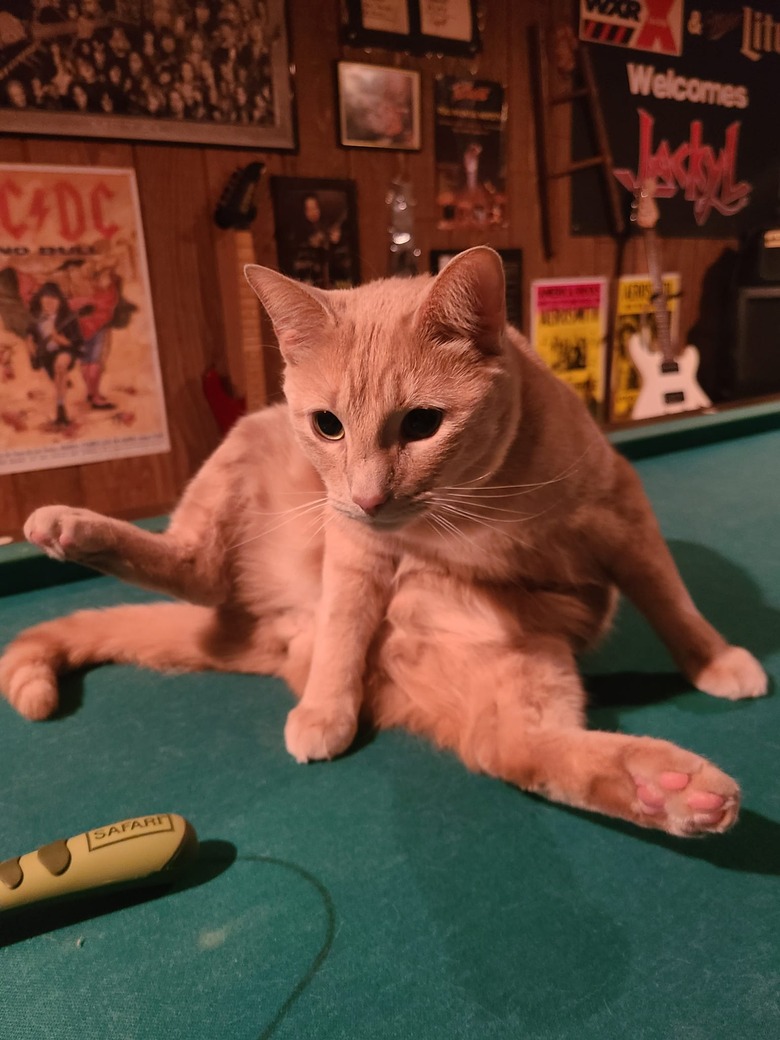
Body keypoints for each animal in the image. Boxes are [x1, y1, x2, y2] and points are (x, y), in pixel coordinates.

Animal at [0, 249, 769, 836]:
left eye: (423, 424)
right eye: (328, 425)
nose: (371, 497)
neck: (475, 515)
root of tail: (277, 632)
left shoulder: (620, 511)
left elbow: (669, 598)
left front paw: (715, 660)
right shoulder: (353, 544)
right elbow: (344, 629)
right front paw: (326, 711)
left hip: (519, 659)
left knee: (518, 748)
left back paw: (671, 792)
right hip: (245, 453)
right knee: (198, 571)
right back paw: (66, 526)